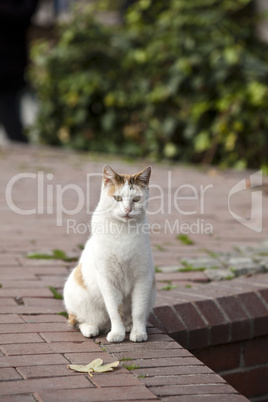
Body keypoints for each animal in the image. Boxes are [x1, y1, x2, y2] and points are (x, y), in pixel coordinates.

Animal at [63, 163, 156, 342]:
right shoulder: (107, 279)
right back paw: (91, 328)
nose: (127, 209)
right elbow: (114, 311)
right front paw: (117, 334)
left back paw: (128, 326)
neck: (123, 231)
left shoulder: (143, 278)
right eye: (117, 198)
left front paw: (138, 332)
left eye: (136, 199)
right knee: (79, 320)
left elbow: (139, 311)